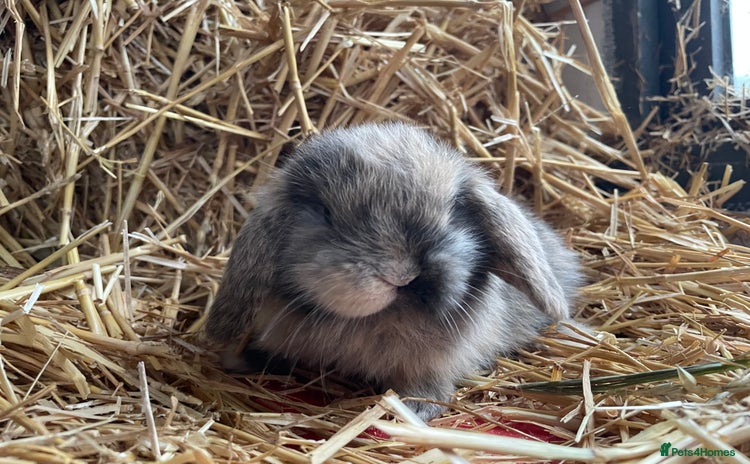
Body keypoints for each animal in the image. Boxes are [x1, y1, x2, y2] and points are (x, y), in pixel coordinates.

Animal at [205, 122, 582, 420]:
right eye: (325, 213)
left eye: (452, 213)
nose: (402, 276)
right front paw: (240, 359)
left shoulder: (432, 364)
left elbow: (427, 384)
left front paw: (416, 409)